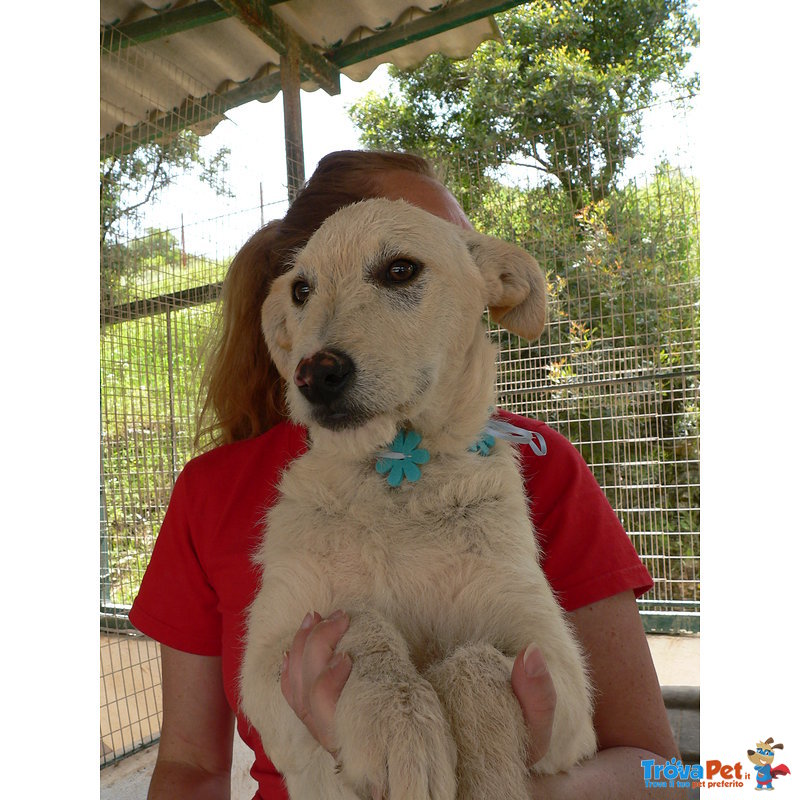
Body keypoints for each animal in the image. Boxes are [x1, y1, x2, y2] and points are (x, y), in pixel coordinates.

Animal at [241, 195, 596, 800]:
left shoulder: (557, 673)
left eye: (400, 270)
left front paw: (486, 775)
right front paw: (399, 724)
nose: (315, 374)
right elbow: (358, 622)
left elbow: (476, 664)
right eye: (301, 290)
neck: (397, 474)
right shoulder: (269, 656)